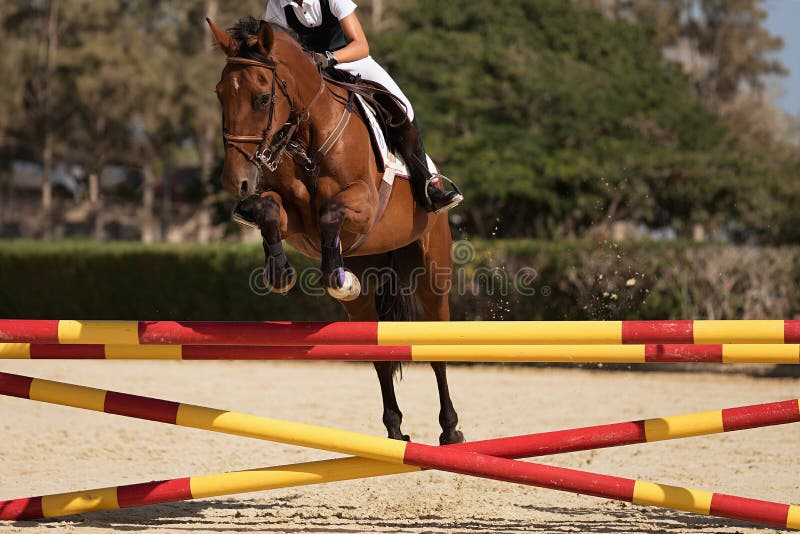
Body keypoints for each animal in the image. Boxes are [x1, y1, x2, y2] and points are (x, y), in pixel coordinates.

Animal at [209, 16, 466, 446]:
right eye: (220, 95)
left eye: (262, 99)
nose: (236, 182)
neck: (305, 135)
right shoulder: (294, 219)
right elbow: (268, 209)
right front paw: (280, 272)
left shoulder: (363, 204)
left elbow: (331, 213)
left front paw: (333, 276)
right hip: (367, 290)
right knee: (378, 356)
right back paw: (394, 430)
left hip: (432, 274)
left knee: (436, 347)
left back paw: (450, 430)